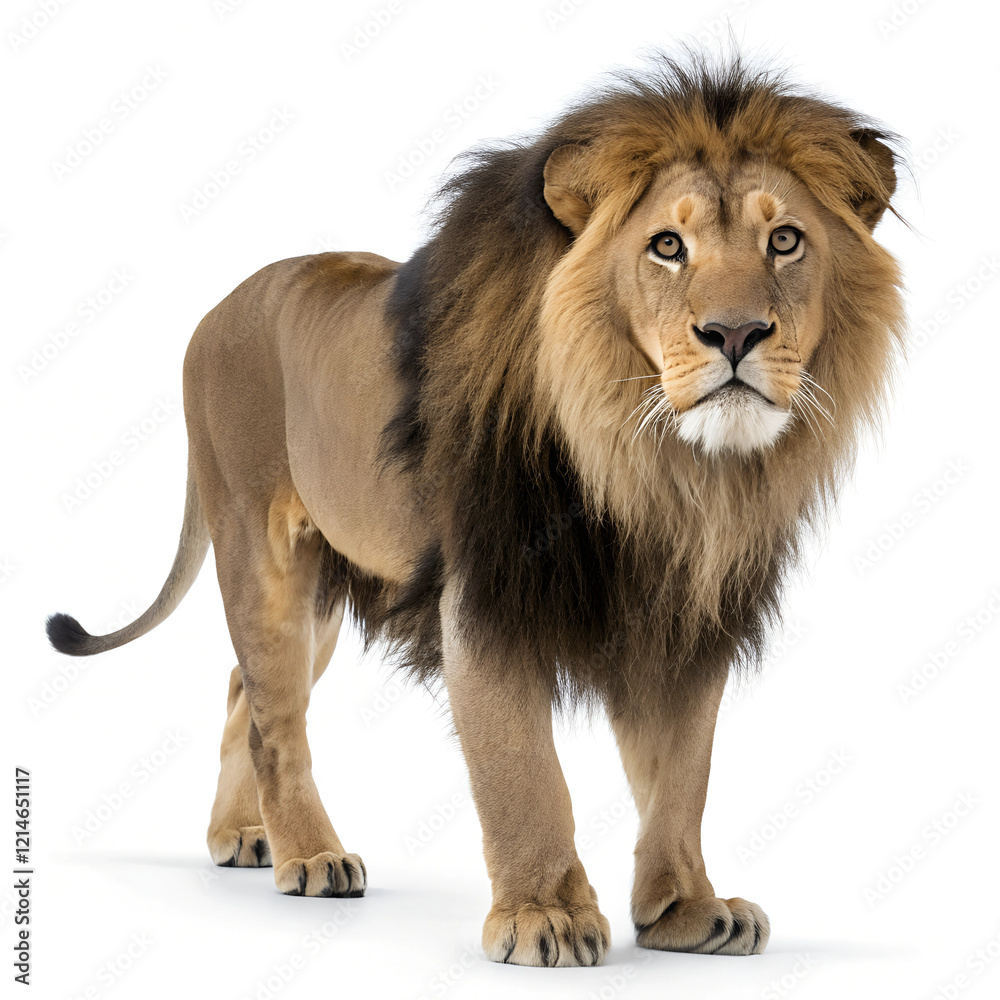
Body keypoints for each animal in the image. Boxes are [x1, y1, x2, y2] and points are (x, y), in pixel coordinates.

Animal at [47, 54, 905, 967]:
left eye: (786, 240)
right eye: (668, 247)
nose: (736, 334)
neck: (659, 468)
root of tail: (213, 311)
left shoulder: (681, 611)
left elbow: (682, 773)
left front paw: (687, 909)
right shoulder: (487, 595)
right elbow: (523, 771)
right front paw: (544, 914)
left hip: (324, 592)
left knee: (245, 690)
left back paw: (244, 836)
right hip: (258, 548)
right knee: (277, 718)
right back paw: (309, 855)